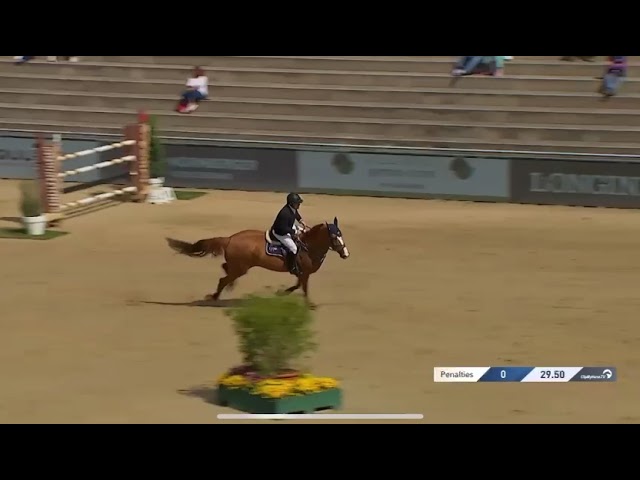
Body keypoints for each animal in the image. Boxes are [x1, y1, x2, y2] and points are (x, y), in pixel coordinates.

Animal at [166, 217, 350, 307]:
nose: (346, 254)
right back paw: (215, 297)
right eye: (335, 237)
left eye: (341, 234)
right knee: (223, 279)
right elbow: (303, 289)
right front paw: (308, 304)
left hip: (238, 267)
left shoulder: (301, 273)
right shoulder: (304, 274)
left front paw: (282, 293)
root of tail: (230, 238)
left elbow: (297, 286)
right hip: (241, 268)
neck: (309, 246)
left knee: (225, 270)